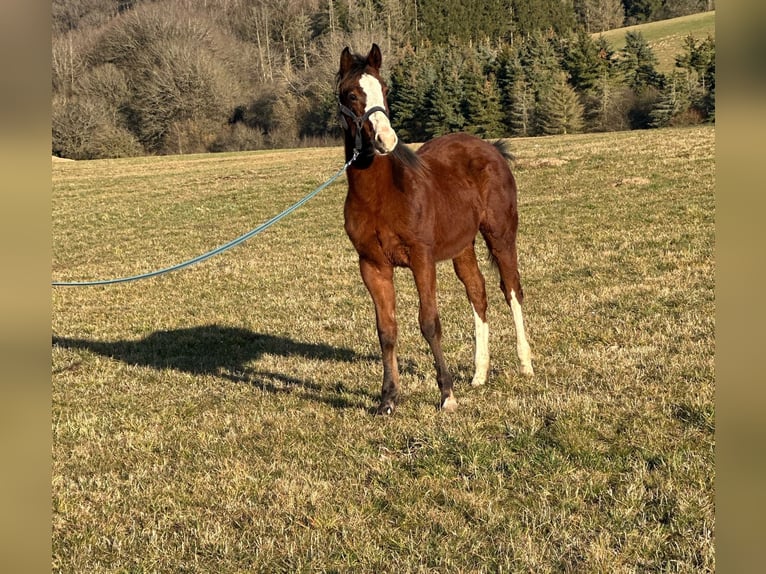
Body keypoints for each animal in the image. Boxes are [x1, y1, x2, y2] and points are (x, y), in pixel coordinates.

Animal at [336, 44, 536, 414]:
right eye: (352, 95)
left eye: (385, 90)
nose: (386, 139)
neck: (381, 196)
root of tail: (492, 148)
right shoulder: (372, 266)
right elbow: (386, 330)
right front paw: (388, 399)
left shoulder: (422, 258)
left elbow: (429, 322)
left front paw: (447, 394)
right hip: (462, 246)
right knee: (478, 292)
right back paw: (479, 374)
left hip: (500, 235)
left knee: (512, 289)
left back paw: (525, 364)